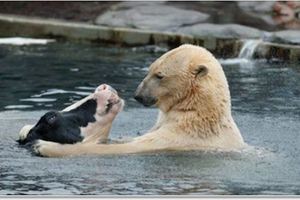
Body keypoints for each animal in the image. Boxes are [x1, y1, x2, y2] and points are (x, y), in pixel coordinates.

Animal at [32, 44, 246, 158]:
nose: (138, 95)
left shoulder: (181, 137)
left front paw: (44, 146)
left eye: (159, 75)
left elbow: (128, 147)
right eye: (149, 69)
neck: (198, 113)